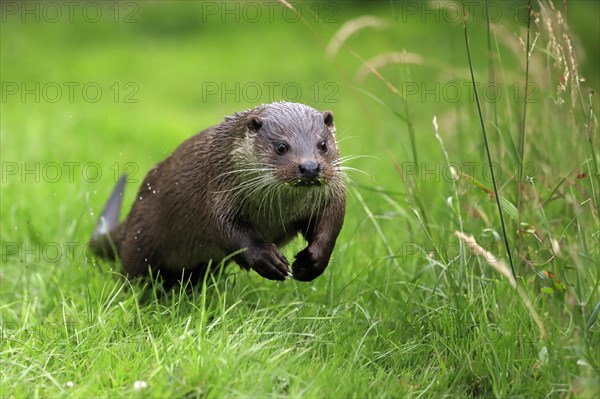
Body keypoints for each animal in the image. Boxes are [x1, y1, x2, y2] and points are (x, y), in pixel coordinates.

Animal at [92, 101, 346, 286]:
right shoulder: (216, 193)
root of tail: (132, 214)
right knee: (133, 273)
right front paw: (267, 259)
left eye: (323, 145)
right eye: (281, 147)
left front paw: (313, 261)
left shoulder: (333, 196)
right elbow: (225, 229)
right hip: (141, 241)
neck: (279, 210)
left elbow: (331, 224)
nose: (310, 167)